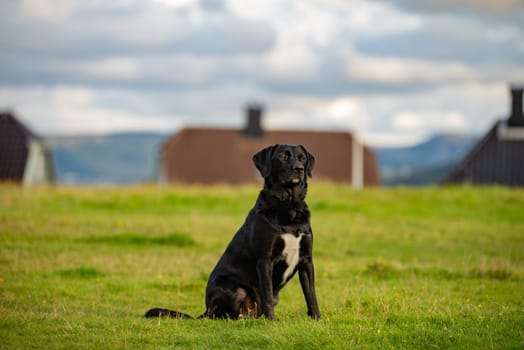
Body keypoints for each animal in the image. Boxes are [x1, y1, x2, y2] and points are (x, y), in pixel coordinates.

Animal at [145, 144, 322, 320]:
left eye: (302, 158)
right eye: (283, 157)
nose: (299, 169)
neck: (289, 206)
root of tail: (205, 310)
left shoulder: (306, 260)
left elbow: (311, 294)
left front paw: (317, 318)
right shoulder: (265, 260)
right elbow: (267, 295)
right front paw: (272, 320)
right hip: (233, 288)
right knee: (222, 314)